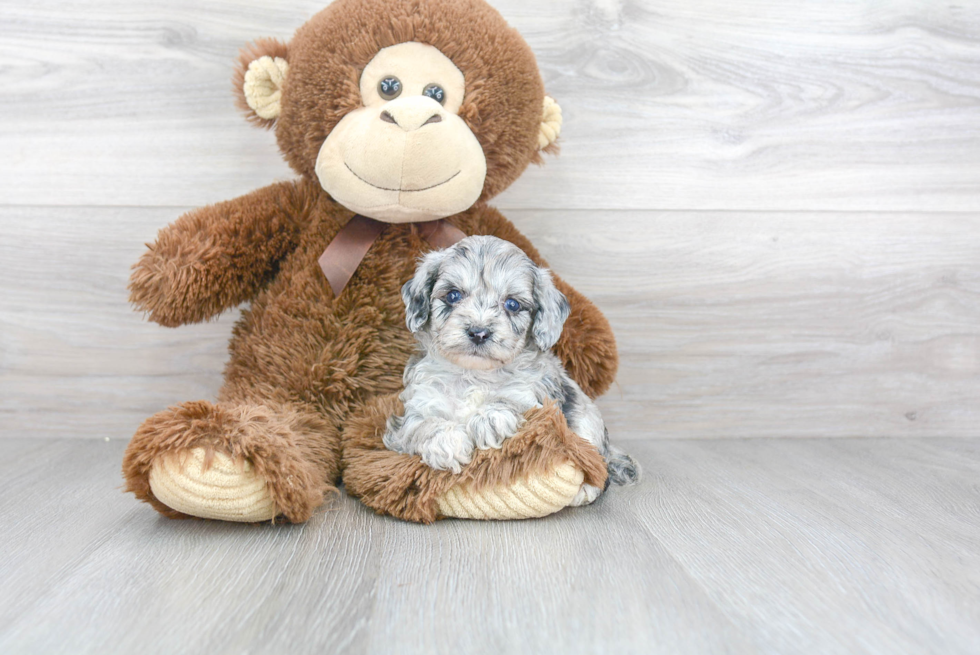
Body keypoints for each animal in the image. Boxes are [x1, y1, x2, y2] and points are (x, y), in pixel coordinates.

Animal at [386, 236, 640, 508]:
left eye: (512, 304)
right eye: (453, 295)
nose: (478, 332)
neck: (473, 374)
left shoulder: (535, 398)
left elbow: (511, 400)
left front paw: (489, 418)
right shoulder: (415, 410)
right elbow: (422, 425)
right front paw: (446, 441)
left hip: (586, 418)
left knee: (596, 464)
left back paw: (583, 489)